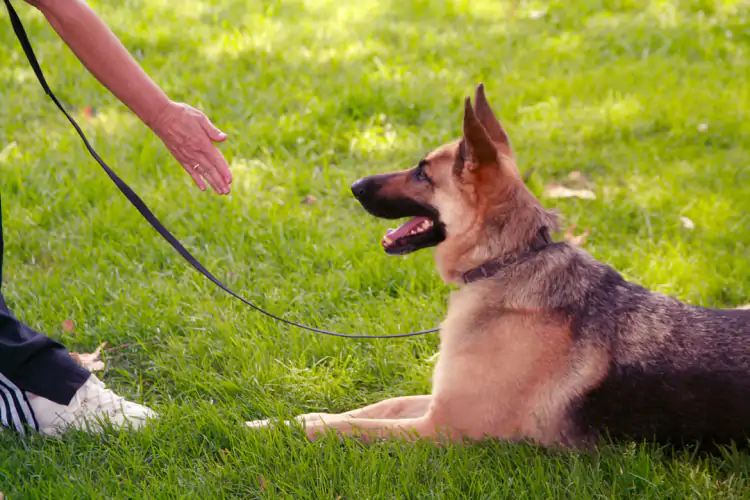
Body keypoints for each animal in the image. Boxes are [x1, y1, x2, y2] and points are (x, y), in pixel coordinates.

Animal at [250, 84, 750, 452]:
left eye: (422, 174)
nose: (353, 185)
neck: (506, 262)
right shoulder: (436, 402)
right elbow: (380, 405)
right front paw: (289, 416)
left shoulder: (442, 428)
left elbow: (345, 427)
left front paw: (276, 427)